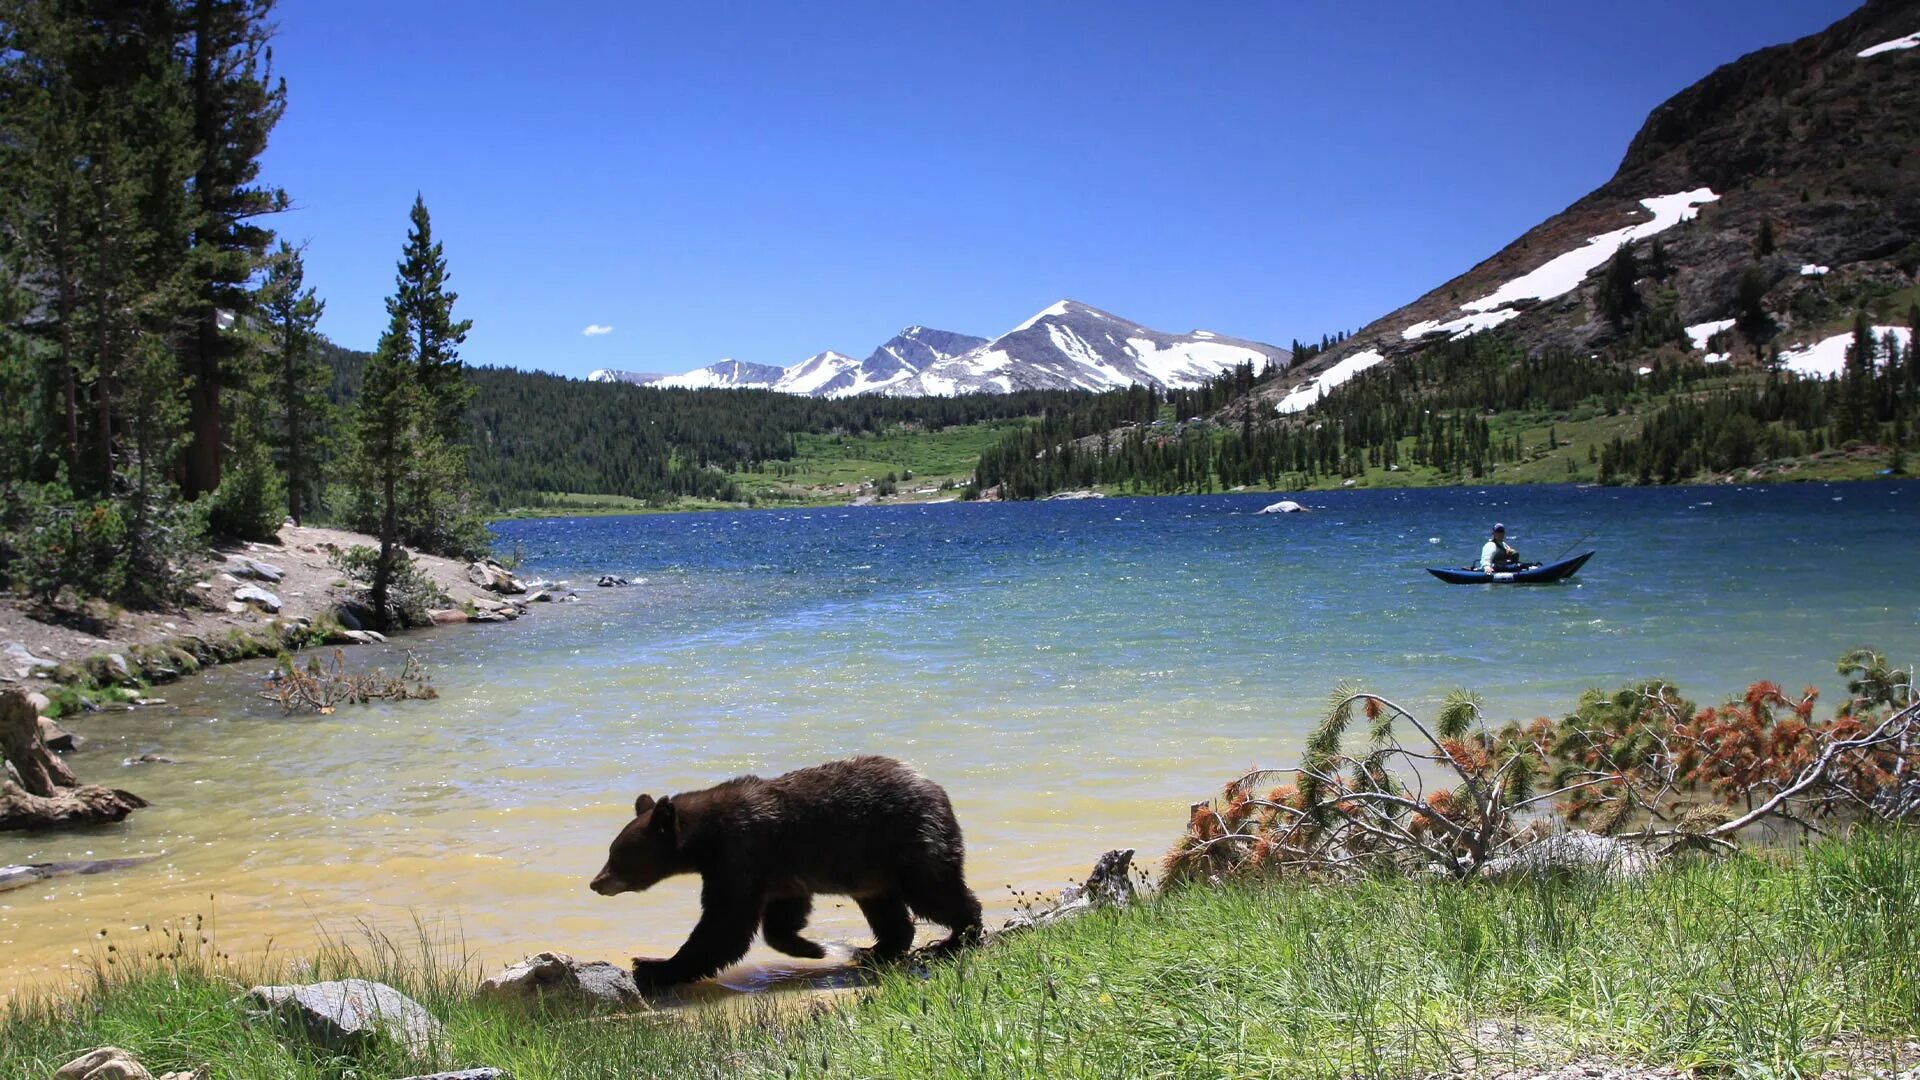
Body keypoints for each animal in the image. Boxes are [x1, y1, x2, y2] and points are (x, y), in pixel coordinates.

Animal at [587, 753, 983, 991]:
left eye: (617, 854)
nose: (595, 882)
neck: (706, 839)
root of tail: (938, 789)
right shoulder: (776, 870)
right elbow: (780, 916)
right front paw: (813, 947)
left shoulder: (741, 855)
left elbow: (724, 923)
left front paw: (653, 966)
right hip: (870, 868)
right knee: (886, 908)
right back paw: (876, 951)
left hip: (907, 842)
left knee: (935, 892)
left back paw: (955, 938)